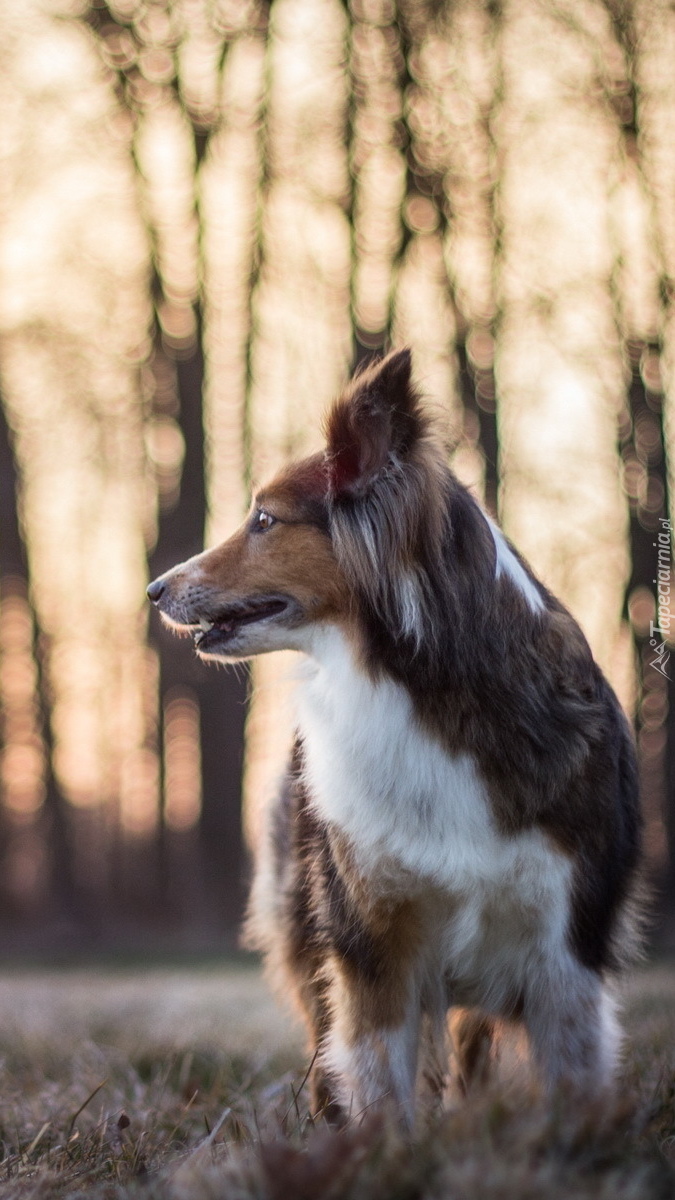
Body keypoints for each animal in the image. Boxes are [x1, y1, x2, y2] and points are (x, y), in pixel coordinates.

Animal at [147, 350, 638, 1128]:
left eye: (264, 519)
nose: (153, 589)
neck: (423, 690)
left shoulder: (566, 950)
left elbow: (570, 1077)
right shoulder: (371, 941)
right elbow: (378, 1081)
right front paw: (385, 1149)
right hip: (306, 924)